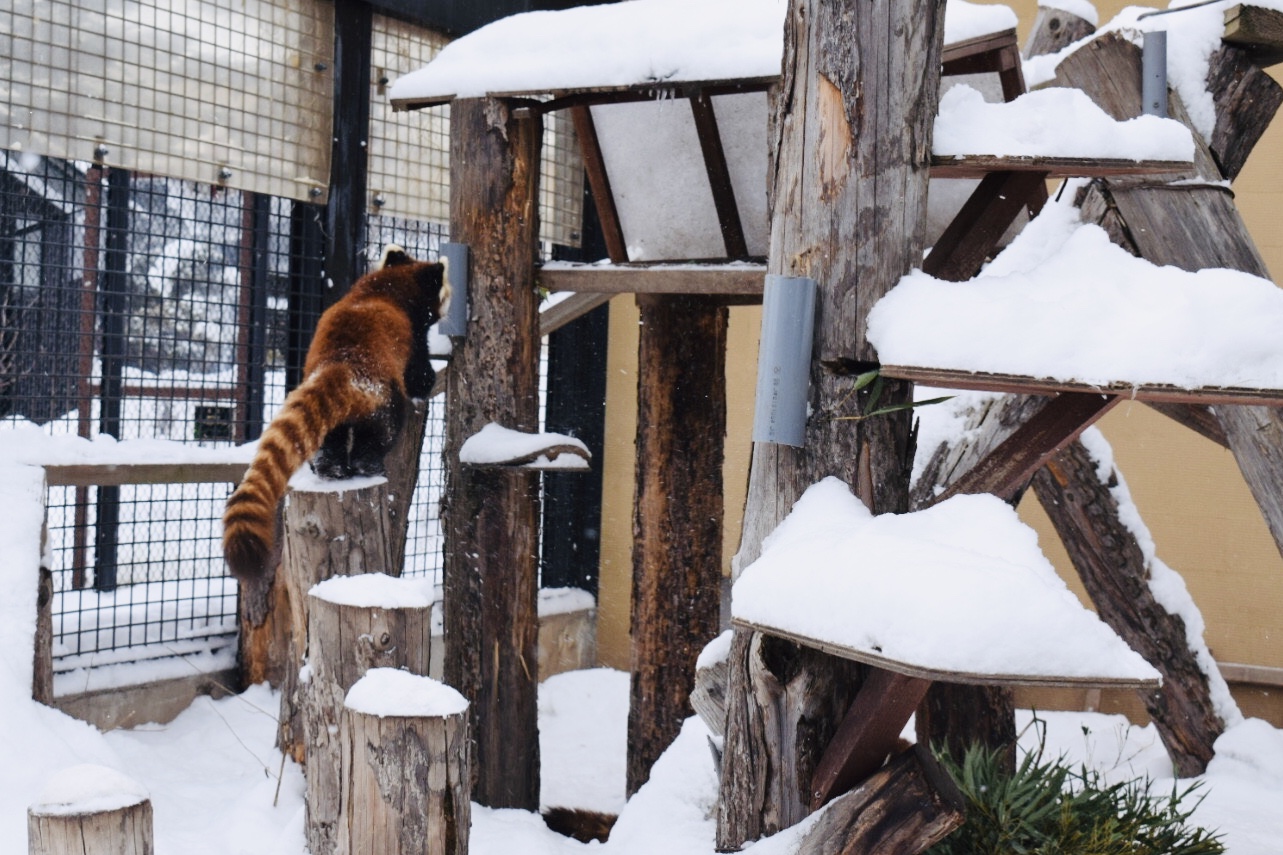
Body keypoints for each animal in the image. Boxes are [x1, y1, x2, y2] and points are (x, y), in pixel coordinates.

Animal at [224, 242, 451, 582]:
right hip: (383, 396)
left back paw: (330, 468)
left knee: (330, 439)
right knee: (382, 431)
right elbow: (418, 373)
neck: (385, 288)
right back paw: (368, 464)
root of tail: (341, 365)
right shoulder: (412, 338)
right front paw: (428, 380)